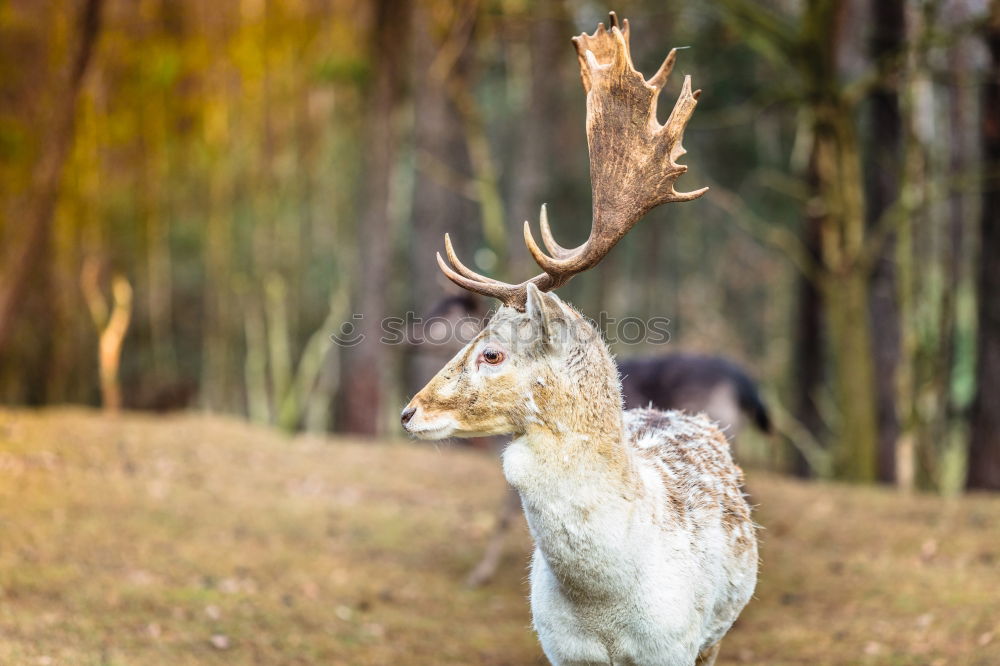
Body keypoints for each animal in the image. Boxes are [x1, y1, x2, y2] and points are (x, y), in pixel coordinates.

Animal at [400, 13, 756, 660]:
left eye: (492, 352)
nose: (409, 411)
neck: (606, 608)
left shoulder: (674, 648)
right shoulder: (561, 648)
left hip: (717, 634)